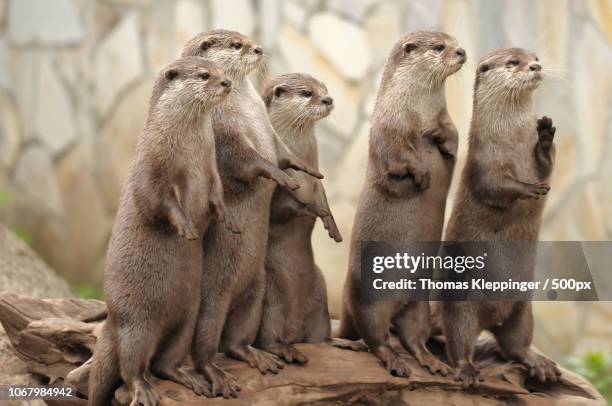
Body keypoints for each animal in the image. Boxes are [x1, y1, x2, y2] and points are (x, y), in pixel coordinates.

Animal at [88, 57, 237, 406]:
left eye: (222, 71)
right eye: (205, 75)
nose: (227, 83)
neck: (189, 152)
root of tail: (111, 321)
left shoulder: (211, 170)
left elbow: (217, 195)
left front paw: (227, 216)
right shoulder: (152, 167)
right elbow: (156, 201)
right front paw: (184, 226)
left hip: (187, 317)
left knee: (165, 362)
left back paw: (190, 377)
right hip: (137, 324)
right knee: (132, 366)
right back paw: (144, 390)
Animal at [334, 30, 464, 378]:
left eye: (454, 40)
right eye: (439, 47)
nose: (462, 51)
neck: (416, 112)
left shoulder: (448, 120)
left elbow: (454, 138)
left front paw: (437, 135)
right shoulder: (386, 128)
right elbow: (397, 157)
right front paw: (421, 173)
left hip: (419, 305)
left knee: (413, 337)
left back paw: (433, 362)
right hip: (366, 298)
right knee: (375, 337)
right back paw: (392, 361)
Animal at [440, 46, 560, 386]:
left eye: (534, 57)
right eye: (513, 63)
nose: (535, 66)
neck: (512, 142)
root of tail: (491, 318)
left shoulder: (537, 162)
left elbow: (547, 165)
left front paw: (545, 135)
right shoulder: (482, 159)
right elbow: (493, 186)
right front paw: (527, 188)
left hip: (523, 308)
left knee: (515, 344)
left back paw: (539, 364)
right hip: (460, 304)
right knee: (459, 339)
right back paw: (466, 371)